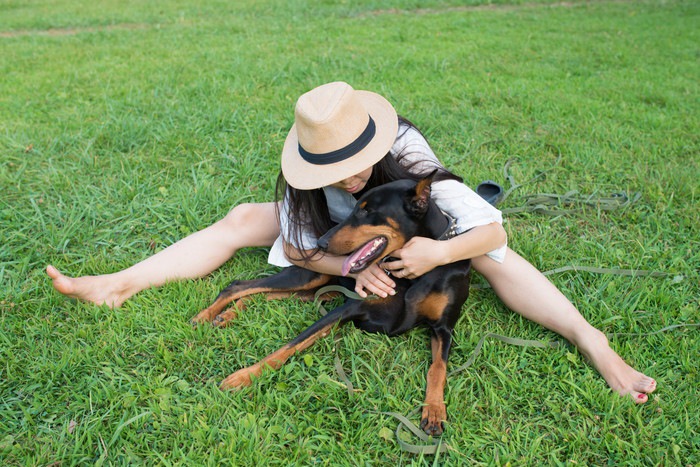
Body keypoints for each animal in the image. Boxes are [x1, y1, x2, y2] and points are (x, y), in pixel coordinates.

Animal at [191, 171, 470, 436]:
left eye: (367, 211)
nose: (320, 243)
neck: (412, 274)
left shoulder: (443, 328)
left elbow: (438, 368)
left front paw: (434, 411)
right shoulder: (348, 308)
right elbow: (290, 345)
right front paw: (243, 376)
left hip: (318, 290)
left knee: (260, 294)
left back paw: (227, 315)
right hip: (309, 276)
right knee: (238, 285)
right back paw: (205, 317)